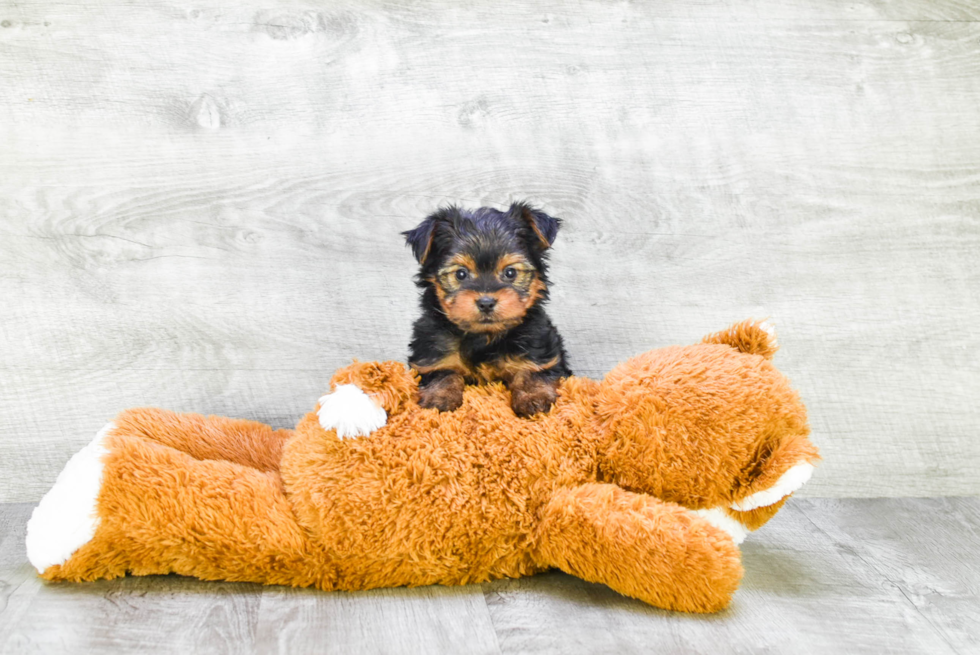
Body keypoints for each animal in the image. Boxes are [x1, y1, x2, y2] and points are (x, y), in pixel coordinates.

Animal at [402, 202, 572, 418]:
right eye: (461, 274)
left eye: (510, 273)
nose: (486, 302)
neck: (483, 337)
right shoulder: (430, 352)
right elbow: (443, 372)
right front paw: (439, 398)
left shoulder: (539, 347)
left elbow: (532, 371)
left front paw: (535, 398)